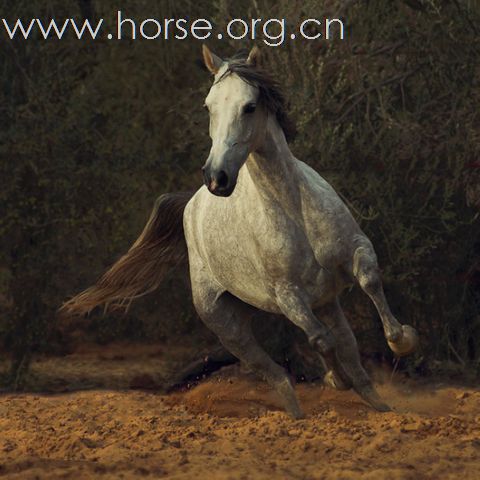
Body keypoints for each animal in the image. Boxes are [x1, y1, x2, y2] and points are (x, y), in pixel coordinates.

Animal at [62, 47, 416, 418]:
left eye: (249, 106)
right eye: (208, 106)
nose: (216, 177)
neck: (295, 210)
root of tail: (191, 203)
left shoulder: (356, 249)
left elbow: (369, 282)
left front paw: (403, 341)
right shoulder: (287, 296)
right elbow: (320, 339)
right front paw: (336, 379)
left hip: (322, 301)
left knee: (349, 350)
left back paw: (381, 406)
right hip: (229, 327)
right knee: (277, 373)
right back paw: (302, 411)